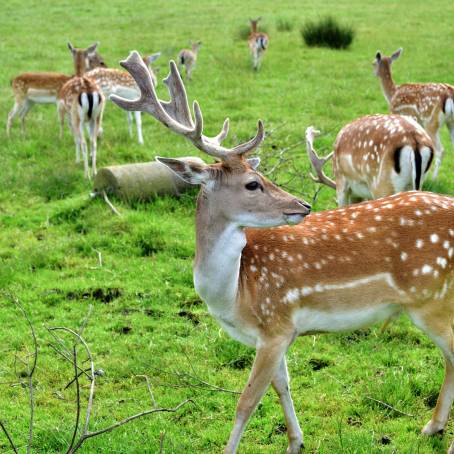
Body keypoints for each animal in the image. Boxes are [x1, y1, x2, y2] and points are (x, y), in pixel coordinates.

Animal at [57, 44, 104, 179]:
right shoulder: (89, 120)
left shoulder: (68, 114)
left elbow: (75, 138)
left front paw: (77, 160)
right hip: (98, 116)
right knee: (93, 141)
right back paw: (94, 172)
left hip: (78, 117)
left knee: (83, 142)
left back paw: (86, 174)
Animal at [372, 48, 454, 179]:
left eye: (373, 63)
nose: (374, 73)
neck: (392, 94)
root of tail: (449, 94)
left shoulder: (403, 115)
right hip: (450, 121)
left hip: (431, 121)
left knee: (440, 150)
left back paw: (433, 178)